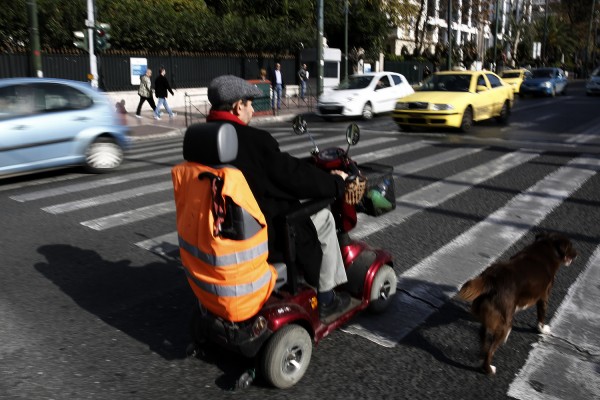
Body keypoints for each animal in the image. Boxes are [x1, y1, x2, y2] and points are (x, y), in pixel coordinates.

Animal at [460, 231, 576, 376]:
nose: (577, 254)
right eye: (571, 246)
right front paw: (542, 329)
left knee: (484, 340)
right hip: (505, 324)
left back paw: (482, 359)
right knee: (490, 350)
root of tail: (492, 279)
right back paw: (489, 369)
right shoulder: (544, 297)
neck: (547, 246)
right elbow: (541, 316)